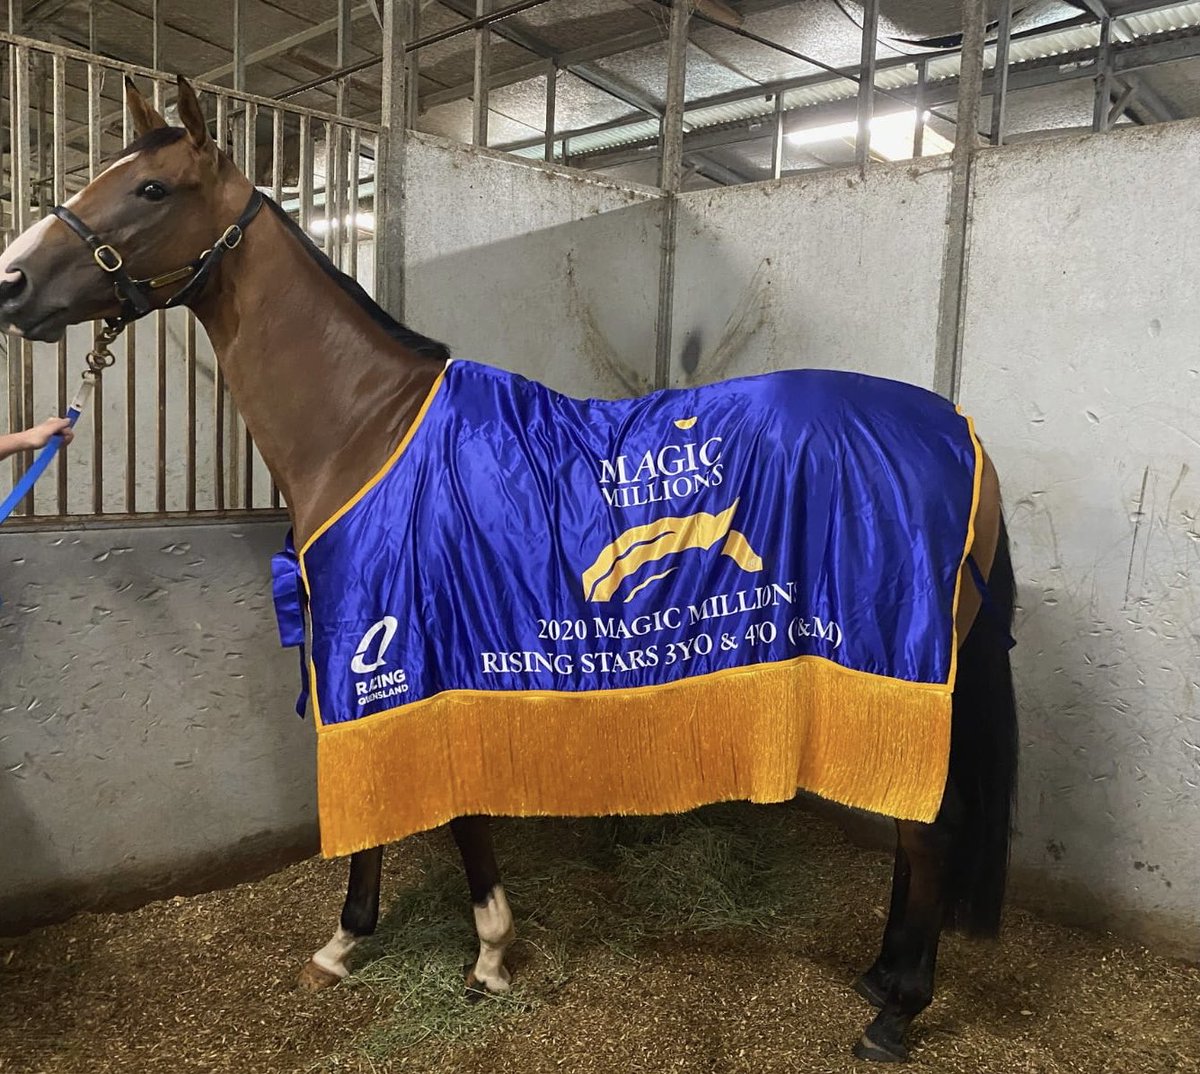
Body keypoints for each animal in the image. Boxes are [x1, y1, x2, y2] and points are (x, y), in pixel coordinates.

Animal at [0, 75, 1017, 1064]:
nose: (11, 279)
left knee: (930, 826)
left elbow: (441, 806)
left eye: (150, 188)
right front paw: (383, 942)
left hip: (899, 666)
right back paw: (880, 979)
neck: (368, 430)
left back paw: (895, 1013)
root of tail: (961, 435)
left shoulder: (404, 649)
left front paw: (464, 950)